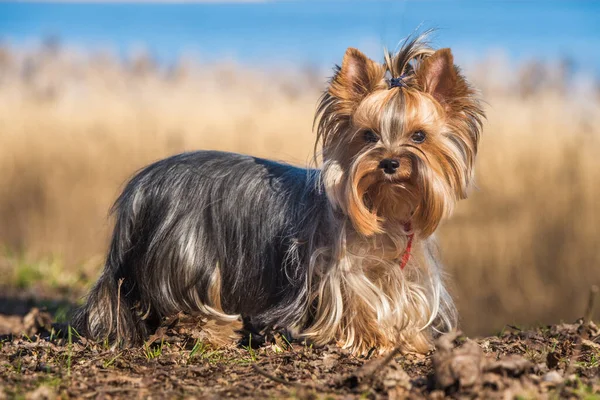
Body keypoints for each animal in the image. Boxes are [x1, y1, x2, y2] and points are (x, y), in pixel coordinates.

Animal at [74, 32, 482, 354]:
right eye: (368, 135)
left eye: (419, 136)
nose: (390, 163)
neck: (384, 211)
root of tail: (140, 187)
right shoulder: (340, 270)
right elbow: (357, 302)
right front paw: (372, 340)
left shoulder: (406, 271)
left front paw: (410, 340)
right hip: (187, 258)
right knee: (186, 307)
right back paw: (217, 332)